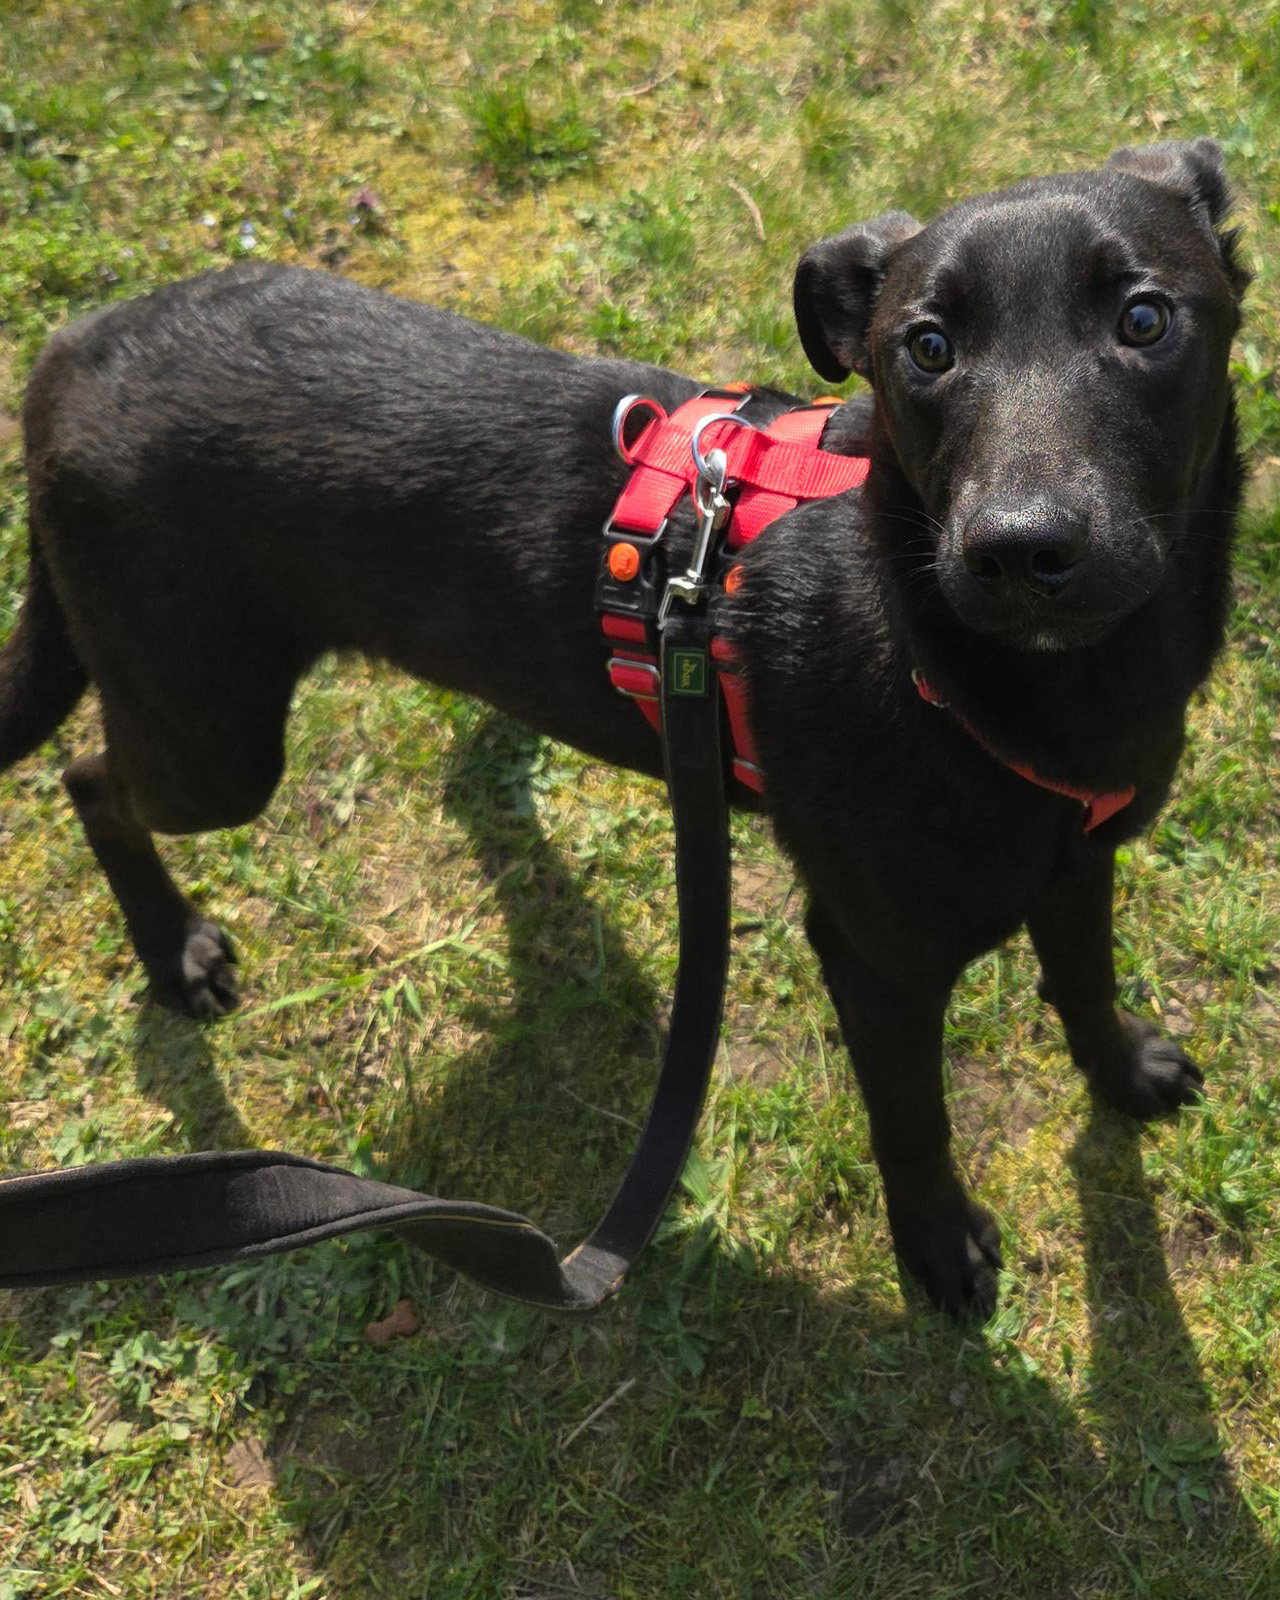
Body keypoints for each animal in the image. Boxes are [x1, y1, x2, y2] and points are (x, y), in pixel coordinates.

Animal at [0, 138, 1247, 1318]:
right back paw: (172, 946)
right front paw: (938, 1247)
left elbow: (1081, 975)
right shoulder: (874, 963)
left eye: (1143, 319)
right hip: (211, 740)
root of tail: (69, 350)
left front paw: (1122, 1068)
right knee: (86, 775)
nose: (1017, 549)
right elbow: (914, 1123)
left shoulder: (1081, 857)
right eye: (926, 347)